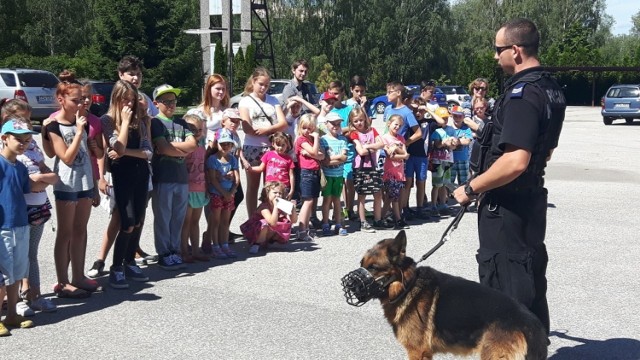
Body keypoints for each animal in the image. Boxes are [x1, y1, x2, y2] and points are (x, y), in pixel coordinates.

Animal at [342, 231, 548, 360]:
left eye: (373, 268)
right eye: (361, 264)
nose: (349, 285)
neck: (407, 286)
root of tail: (532, 324)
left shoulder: (418, 352)